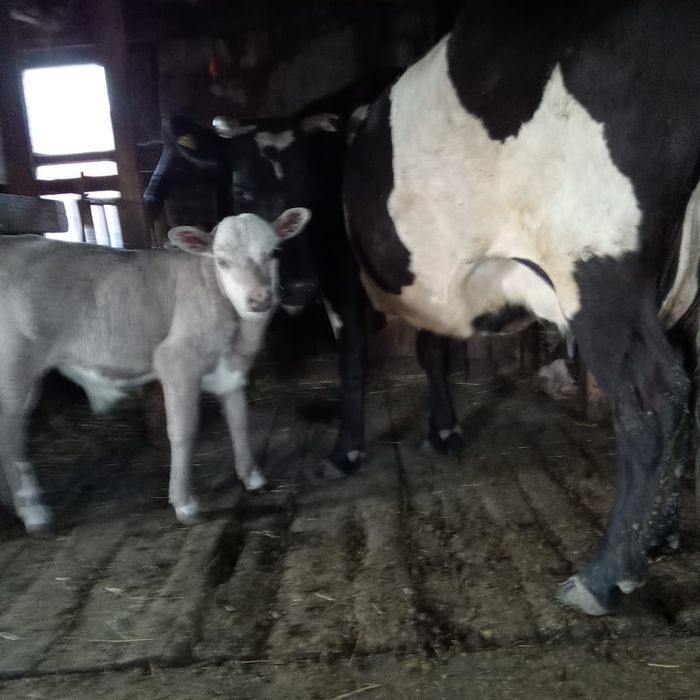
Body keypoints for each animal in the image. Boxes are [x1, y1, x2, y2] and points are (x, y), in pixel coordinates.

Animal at [0, 209, 311, 533]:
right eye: (221, 260)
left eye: (274, 252)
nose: (259, 299)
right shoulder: (176, 361)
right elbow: (183, 432)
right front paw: (184, 503)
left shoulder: (232, 371)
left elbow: (239, 421)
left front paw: (252, 478)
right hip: (14, 366)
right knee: (10, 434)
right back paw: (33, 513)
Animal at [144, 71, 466, 479]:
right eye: (242, 191)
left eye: (314, 188)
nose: (297, 285)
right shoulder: (334, 278)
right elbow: (352, 358)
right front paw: (348, 451)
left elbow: (427, 351)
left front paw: (442, 430)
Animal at [344, 0, 700, 616]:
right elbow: (431, 347)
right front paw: (443, 432)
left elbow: (358, 360)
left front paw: (346, 453)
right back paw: (659, 534)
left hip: (596, 265)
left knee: (654, 397)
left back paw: (606, 574)